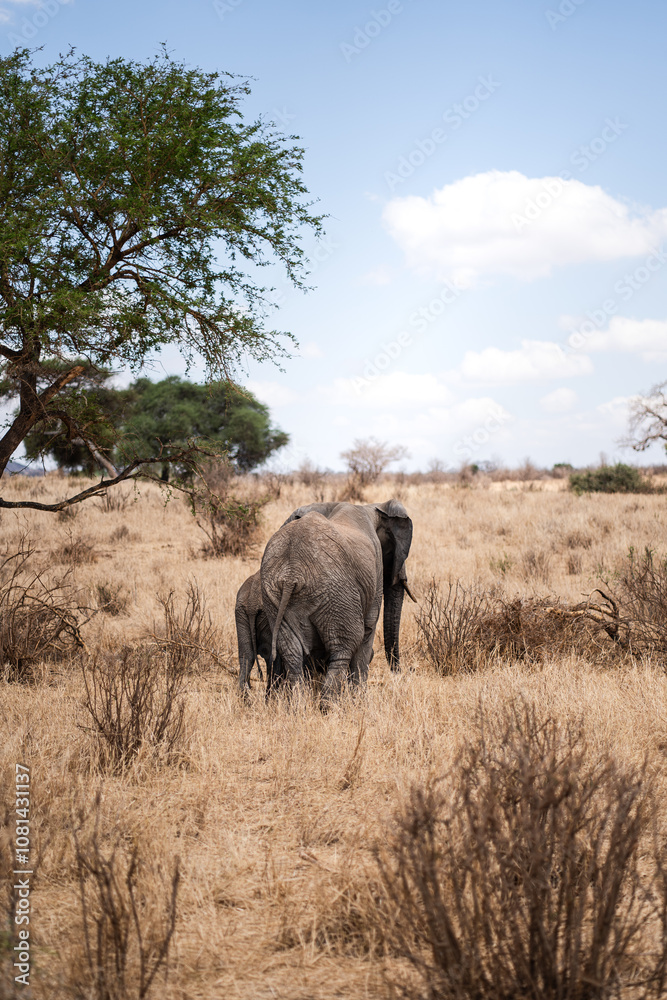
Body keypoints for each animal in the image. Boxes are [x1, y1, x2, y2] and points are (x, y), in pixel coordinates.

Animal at [260, 499, 413, 704]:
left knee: (291, 652)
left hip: (274, 596)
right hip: (336, 593)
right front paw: (360, 702)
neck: (373, 507)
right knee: (345, 646)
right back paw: (329, 706)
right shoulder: (376, 568)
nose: (400, 673)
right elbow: (369, 628)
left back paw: (300, 705)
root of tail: (292, 573)